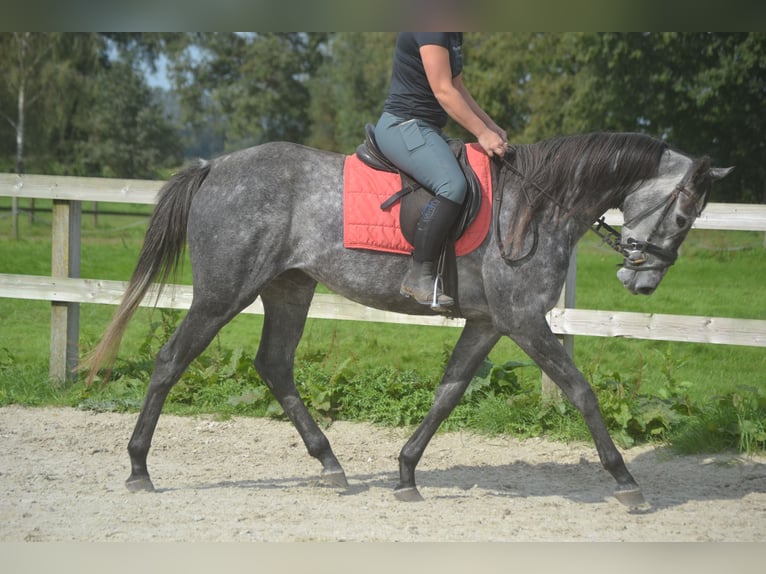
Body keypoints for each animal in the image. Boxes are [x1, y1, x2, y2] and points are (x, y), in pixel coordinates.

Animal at [84, 132, 732, 508]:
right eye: (683, 216)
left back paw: (331, 464)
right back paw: (139, 467)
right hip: (223, 293)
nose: (642, 281)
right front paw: (625, 482)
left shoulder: (490, 323)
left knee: (274, 365)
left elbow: (448, 392)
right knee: (172, 360)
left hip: (289, 288)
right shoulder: (524, 320)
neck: (536, 207)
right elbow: (581, 391)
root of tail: (214, 167)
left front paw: (406, 473)